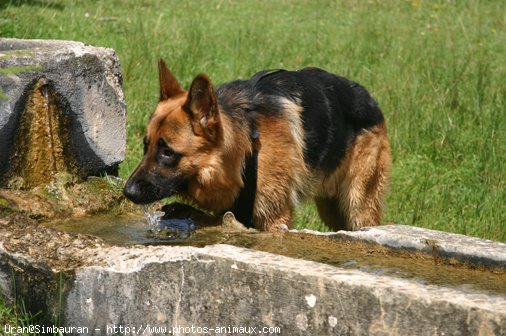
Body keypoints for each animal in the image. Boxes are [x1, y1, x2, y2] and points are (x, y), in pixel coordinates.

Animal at [122, 59, 392, 231]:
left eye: (167, 152)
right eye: (146, 147)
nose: (127, 192)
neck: (245, 152)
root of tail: (369, 98)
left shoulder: (274, 220)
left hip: (357, 207)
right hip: (333, 209)